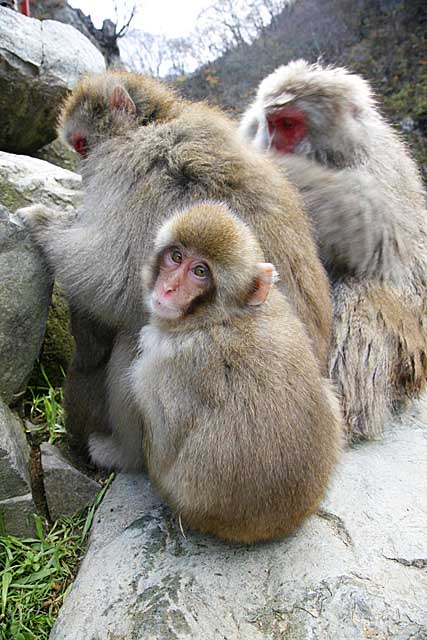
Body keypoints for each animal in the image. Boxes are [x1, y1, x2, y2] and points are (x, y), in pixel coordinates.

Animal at [18, 69, 332, 450]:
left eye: (81, 145)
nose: (82, 172)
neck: (158, 120)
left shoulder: (135, 168)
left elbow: (112, 278)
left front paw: (41, 220)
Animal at [91, 202, 344, 544]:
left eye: (200, 272)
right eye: (176, 256)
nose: (168, 288)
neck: (223, 317)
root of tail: (278, 525)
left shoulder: (160, 365)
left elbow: (158, 442)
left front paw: (116, 453)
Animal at [239, 60, 427, 442]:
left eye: (289, 125)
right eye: (272, 123)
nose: (275, 145)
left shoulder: (374, 166)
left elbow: (380, 241)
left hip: (411, 349)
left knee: (361, 296)